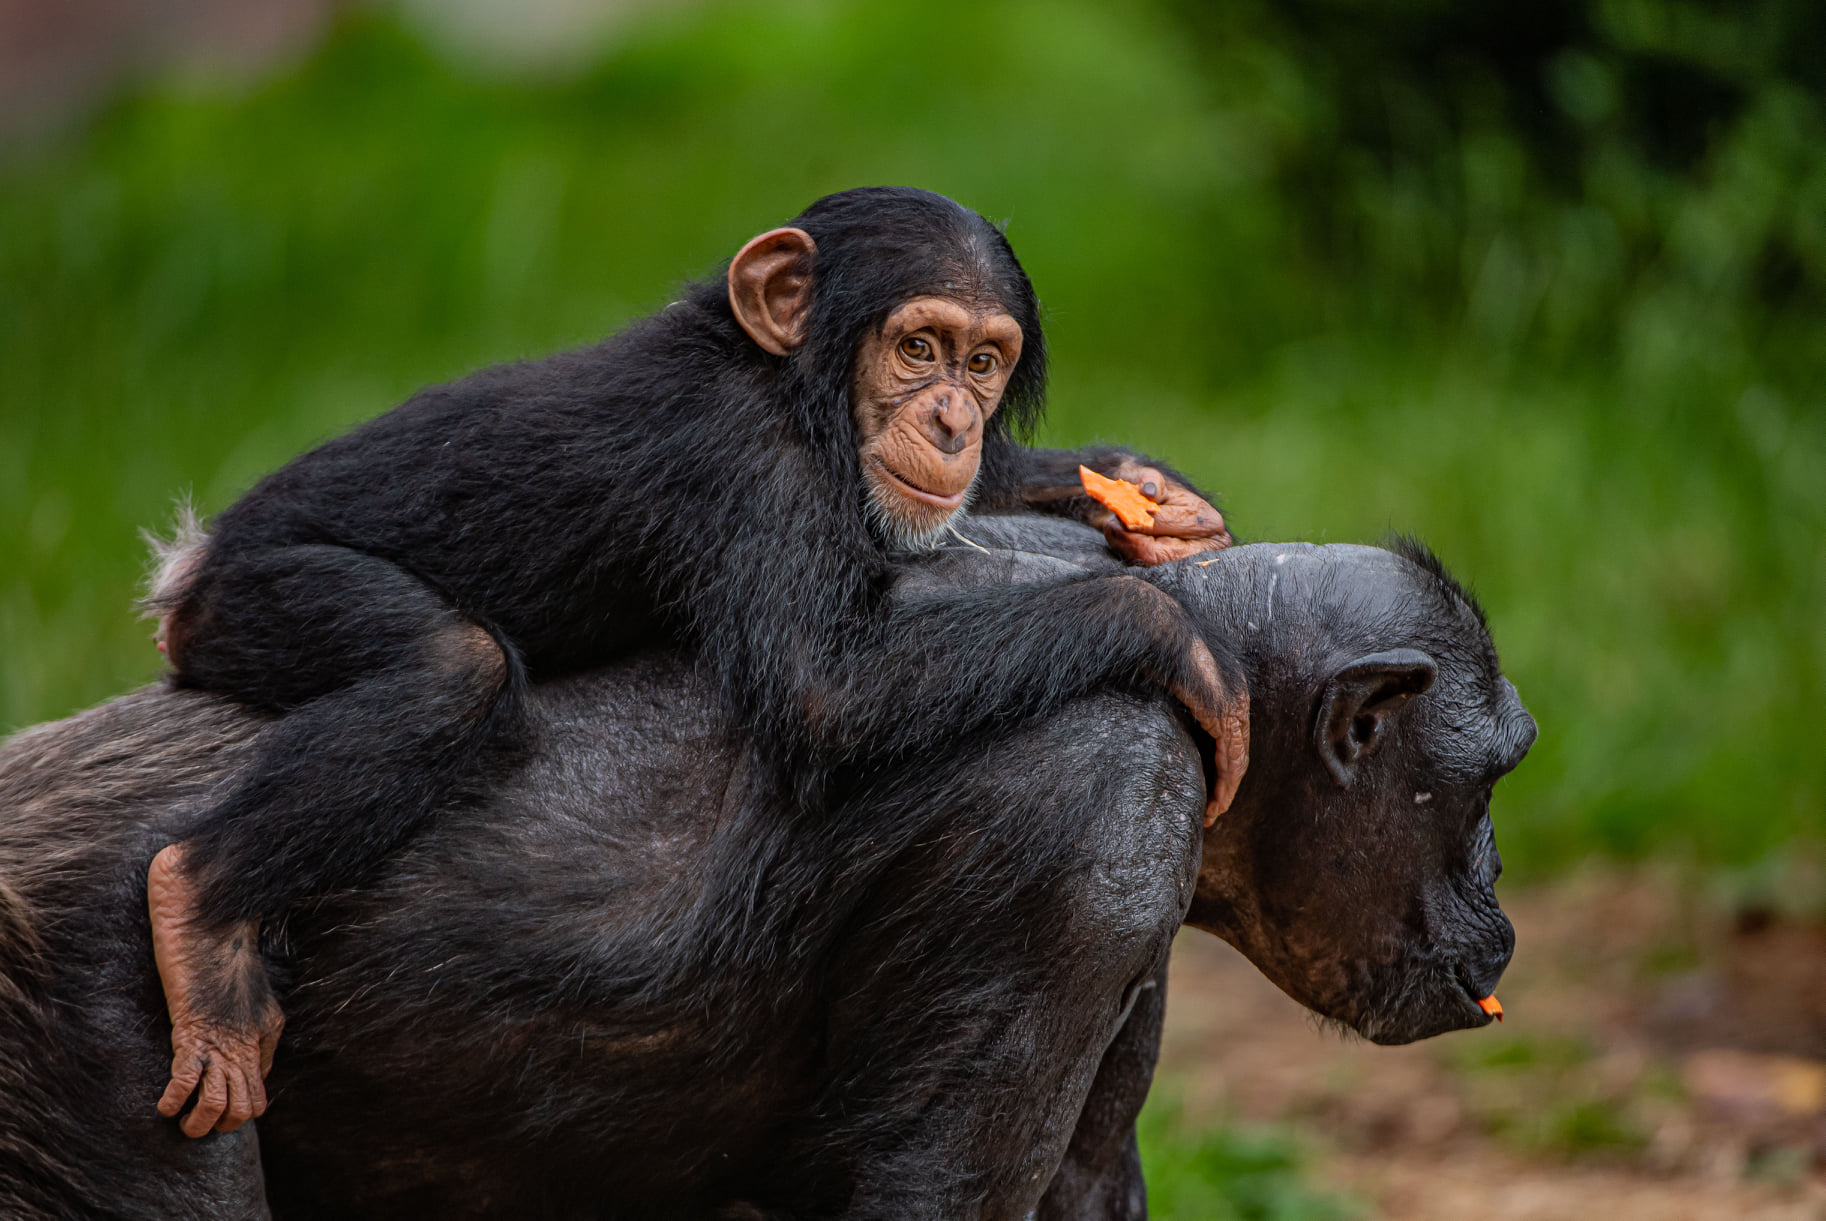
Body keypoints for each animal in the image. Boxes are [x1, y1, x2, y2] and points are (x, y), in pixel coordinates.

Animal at [0, 518, 1533, 1211]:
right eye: (1489, 780)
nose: (1499, 902)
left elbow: (1082, 1182)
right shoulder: (1093, 834)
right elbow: (927, 1184)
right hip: (95, 1021)